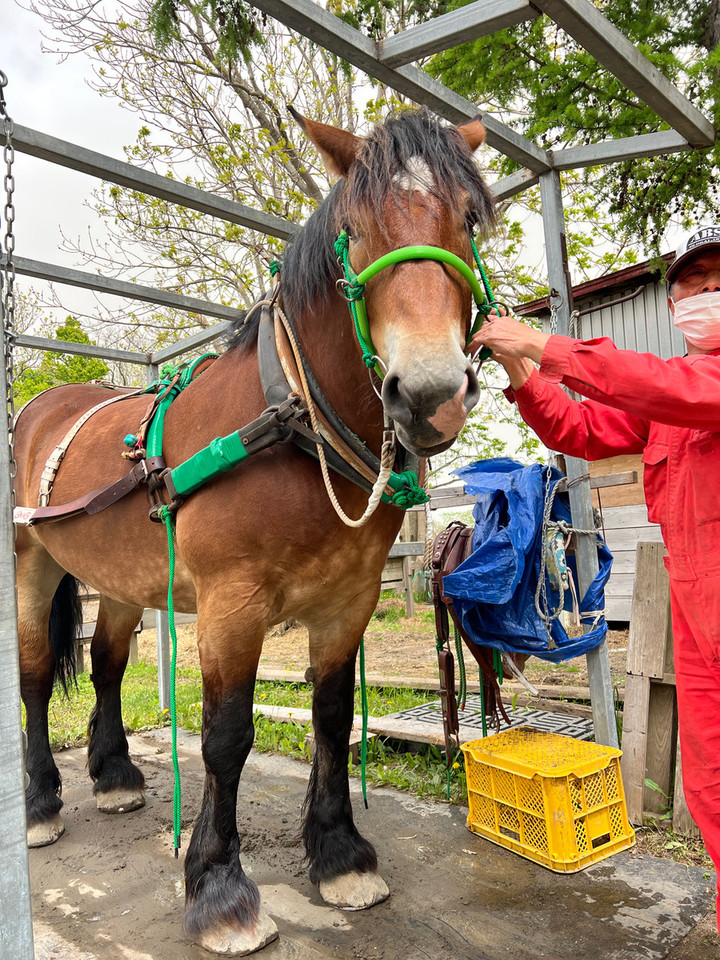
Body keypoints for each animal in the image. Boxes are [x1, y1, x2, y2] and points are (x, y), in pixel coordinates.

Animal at [14, 106, 496, 955]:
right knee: (37, 674)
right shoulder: (232, 604)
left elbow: (333, 719)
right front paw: (217, 887)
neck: (294, 416)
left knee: (105, 666)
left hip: (123, 578)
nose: (430, 393)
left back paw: (114, 775)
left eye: (468, 220)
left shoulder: (348, 601)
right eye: (354, 230)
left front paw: (339, 854)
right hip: (30, 558)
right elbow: (226, 736)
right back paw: (42, 804)